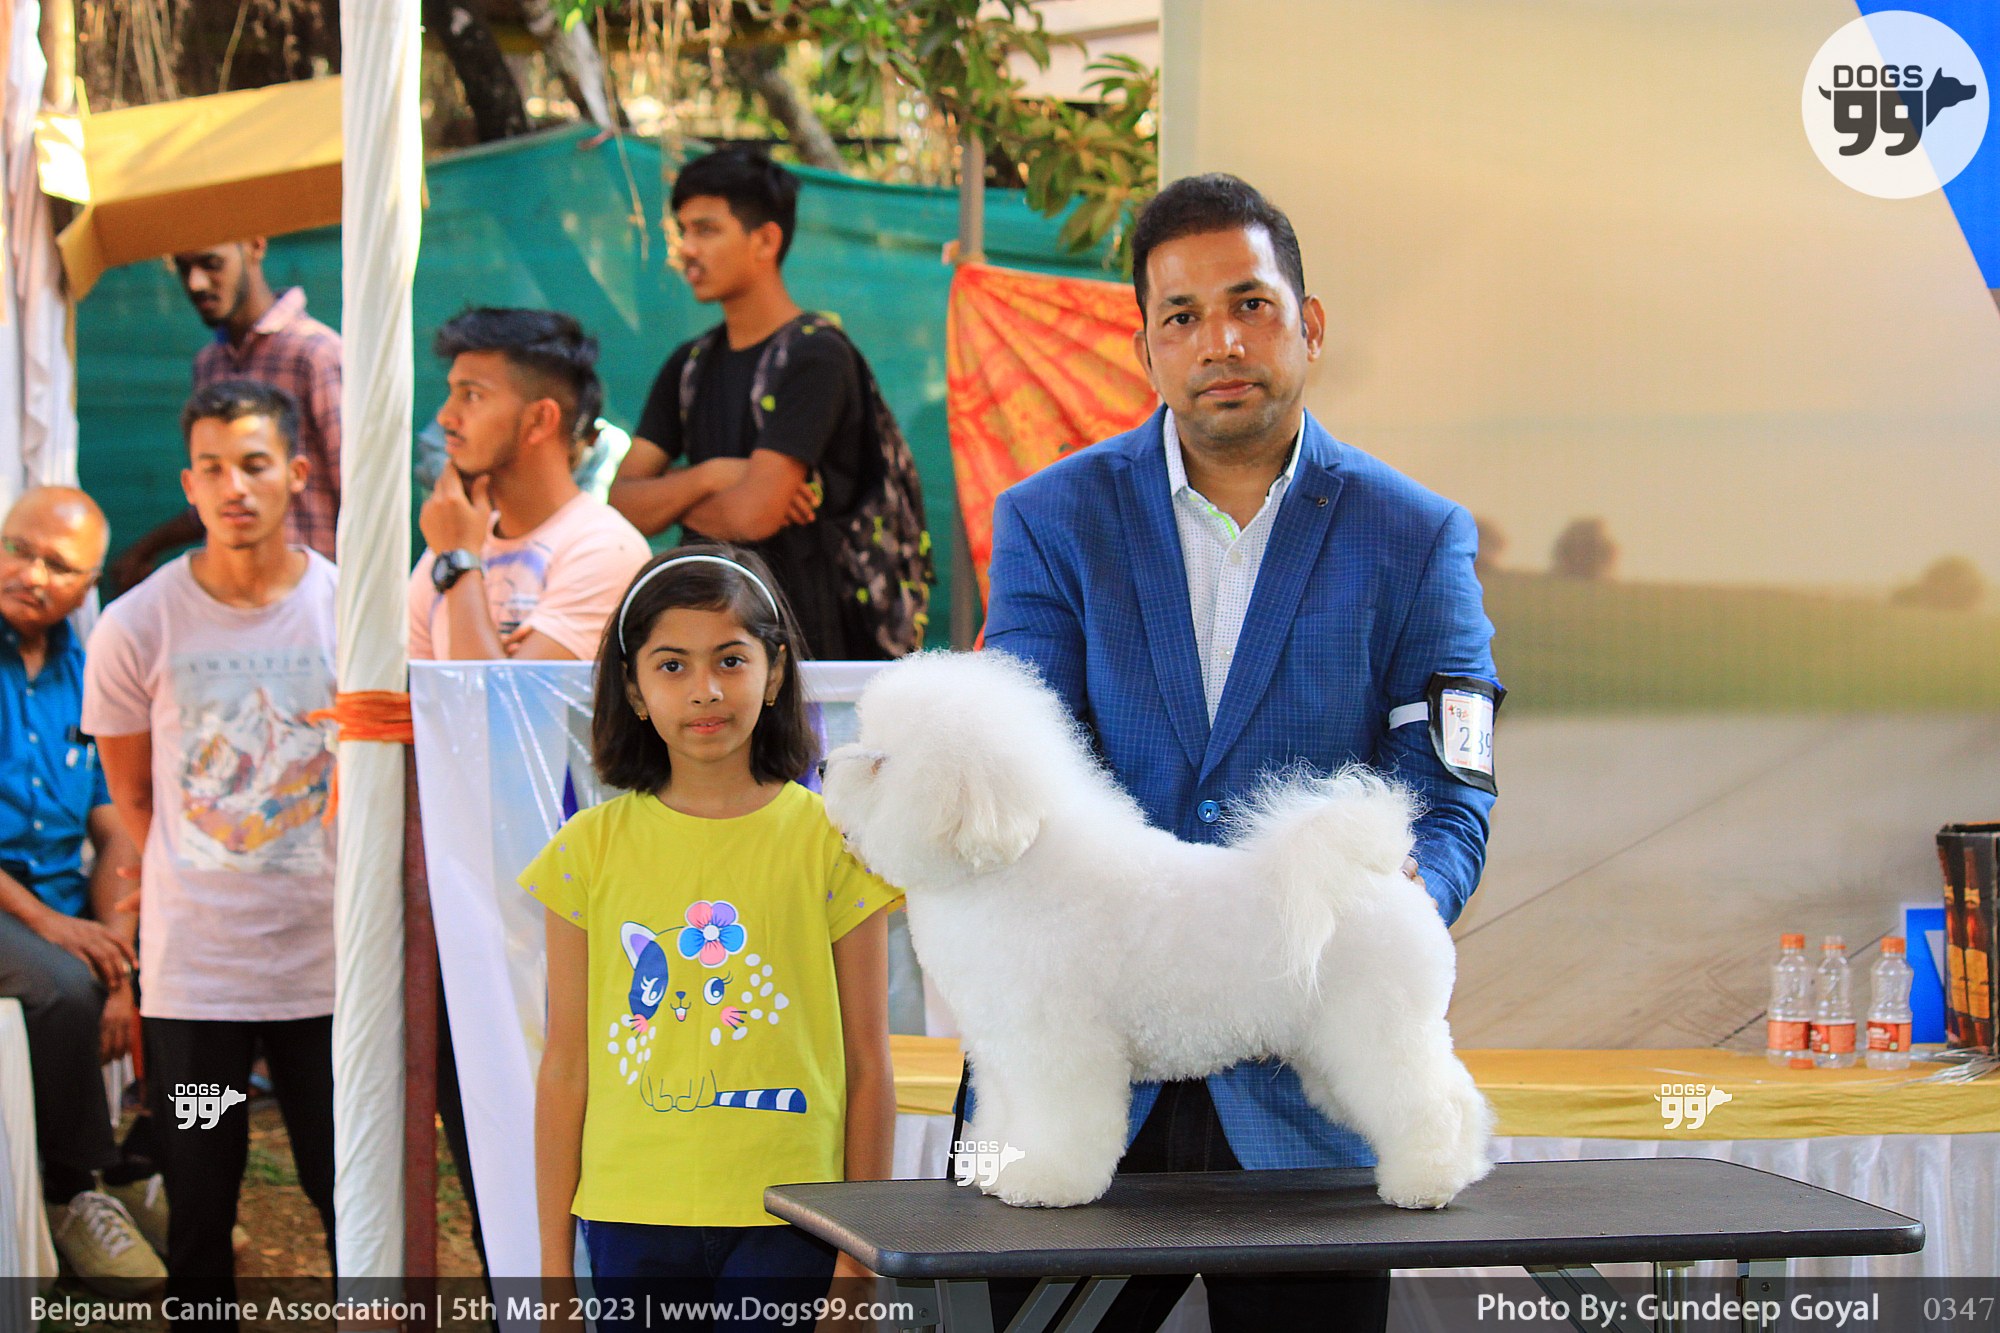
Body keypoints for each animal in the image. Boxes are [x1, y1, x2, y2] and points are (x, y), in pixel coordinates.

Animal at [821, 650, 1494, 1210]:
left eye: (881, 763)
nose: (825, 764)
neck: (1008, 864)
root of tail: (1381, 874)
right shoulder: (1003, 1048)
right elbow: (1011, 1115)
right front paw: (997, 1168)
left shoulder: (1058, 1044)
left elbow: (1060, 1121)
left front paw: (1044, 1183)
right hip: (1329, 1050)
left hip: (1379, 1030)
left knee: (1434, 1102)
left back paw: (1429, 1182)